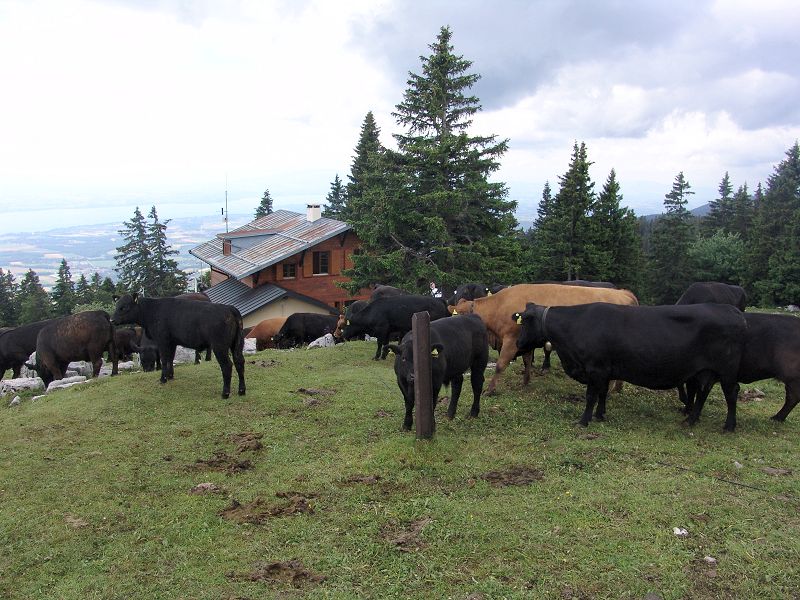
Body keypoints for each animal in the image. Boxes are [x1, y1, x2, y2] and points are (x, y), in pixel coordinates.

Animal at [110, 294, 244, 398]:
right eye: (117, 305)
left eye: (124, 307)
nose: (111, 320)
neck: (153, 311)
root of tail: (229, 308)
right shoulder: (172, 342)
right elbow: (170, 359)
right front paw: (170, 376)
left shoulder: (163, 340)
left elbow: (164, 360)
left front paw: (163, 379)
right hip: (237, 345)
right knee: (239, 362)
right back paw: (242, 391)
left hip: (219, 346)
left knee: (227, 365)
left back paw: (225, 393)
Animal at [456, 284, 636, 396]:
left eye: (460, 316)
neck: (500, 306)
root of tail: (623, 293)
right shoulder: (524, 340)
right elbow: (527, 360)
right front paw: (526, 381)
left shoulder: (511, 339)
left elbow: (500, 365)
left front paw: (490, 390)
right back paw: (617, 388)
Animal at [516, 304, 748, 432]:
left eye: (525, 322)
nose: (517, 343)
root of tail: (732, 310)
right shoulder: (605, 370)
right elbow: (602, 394)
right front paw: (600, 415)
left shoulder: (595, 369)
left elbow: (591, 396)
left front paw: (584, 420)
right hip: (706, 371)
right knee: (703, 392)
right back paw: (691, 420)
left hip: (727, 371)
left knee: (731, 393)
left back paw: (729, 426)